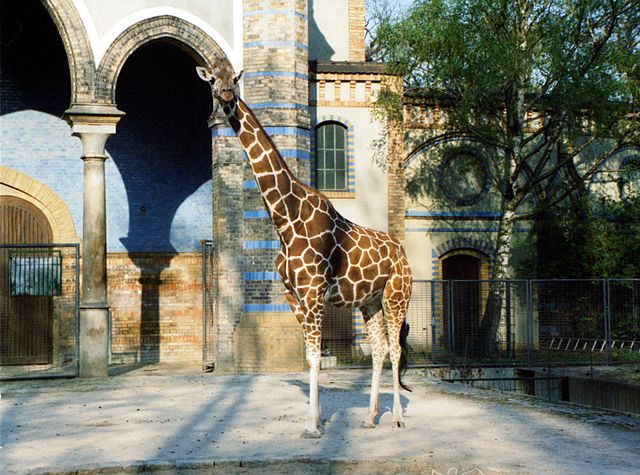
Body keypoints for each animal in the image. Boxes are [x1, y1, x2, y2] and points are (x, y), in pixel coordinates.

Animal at [197, 63, 413, 438]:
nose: (225, 96)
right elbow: (312, 357)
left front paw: (313, 426)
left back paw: (398, 417)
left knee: (396, 349)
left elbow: (315, 356)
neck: (286, 220)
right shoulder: (292, 295)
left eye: (234, 79)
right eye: (212, 79)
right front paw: (317, 418)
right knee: (379, 349)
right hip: (370, 301)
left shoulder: (314, 293)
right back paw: (370, 416)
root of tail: (403, 254)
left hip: (396, 295)